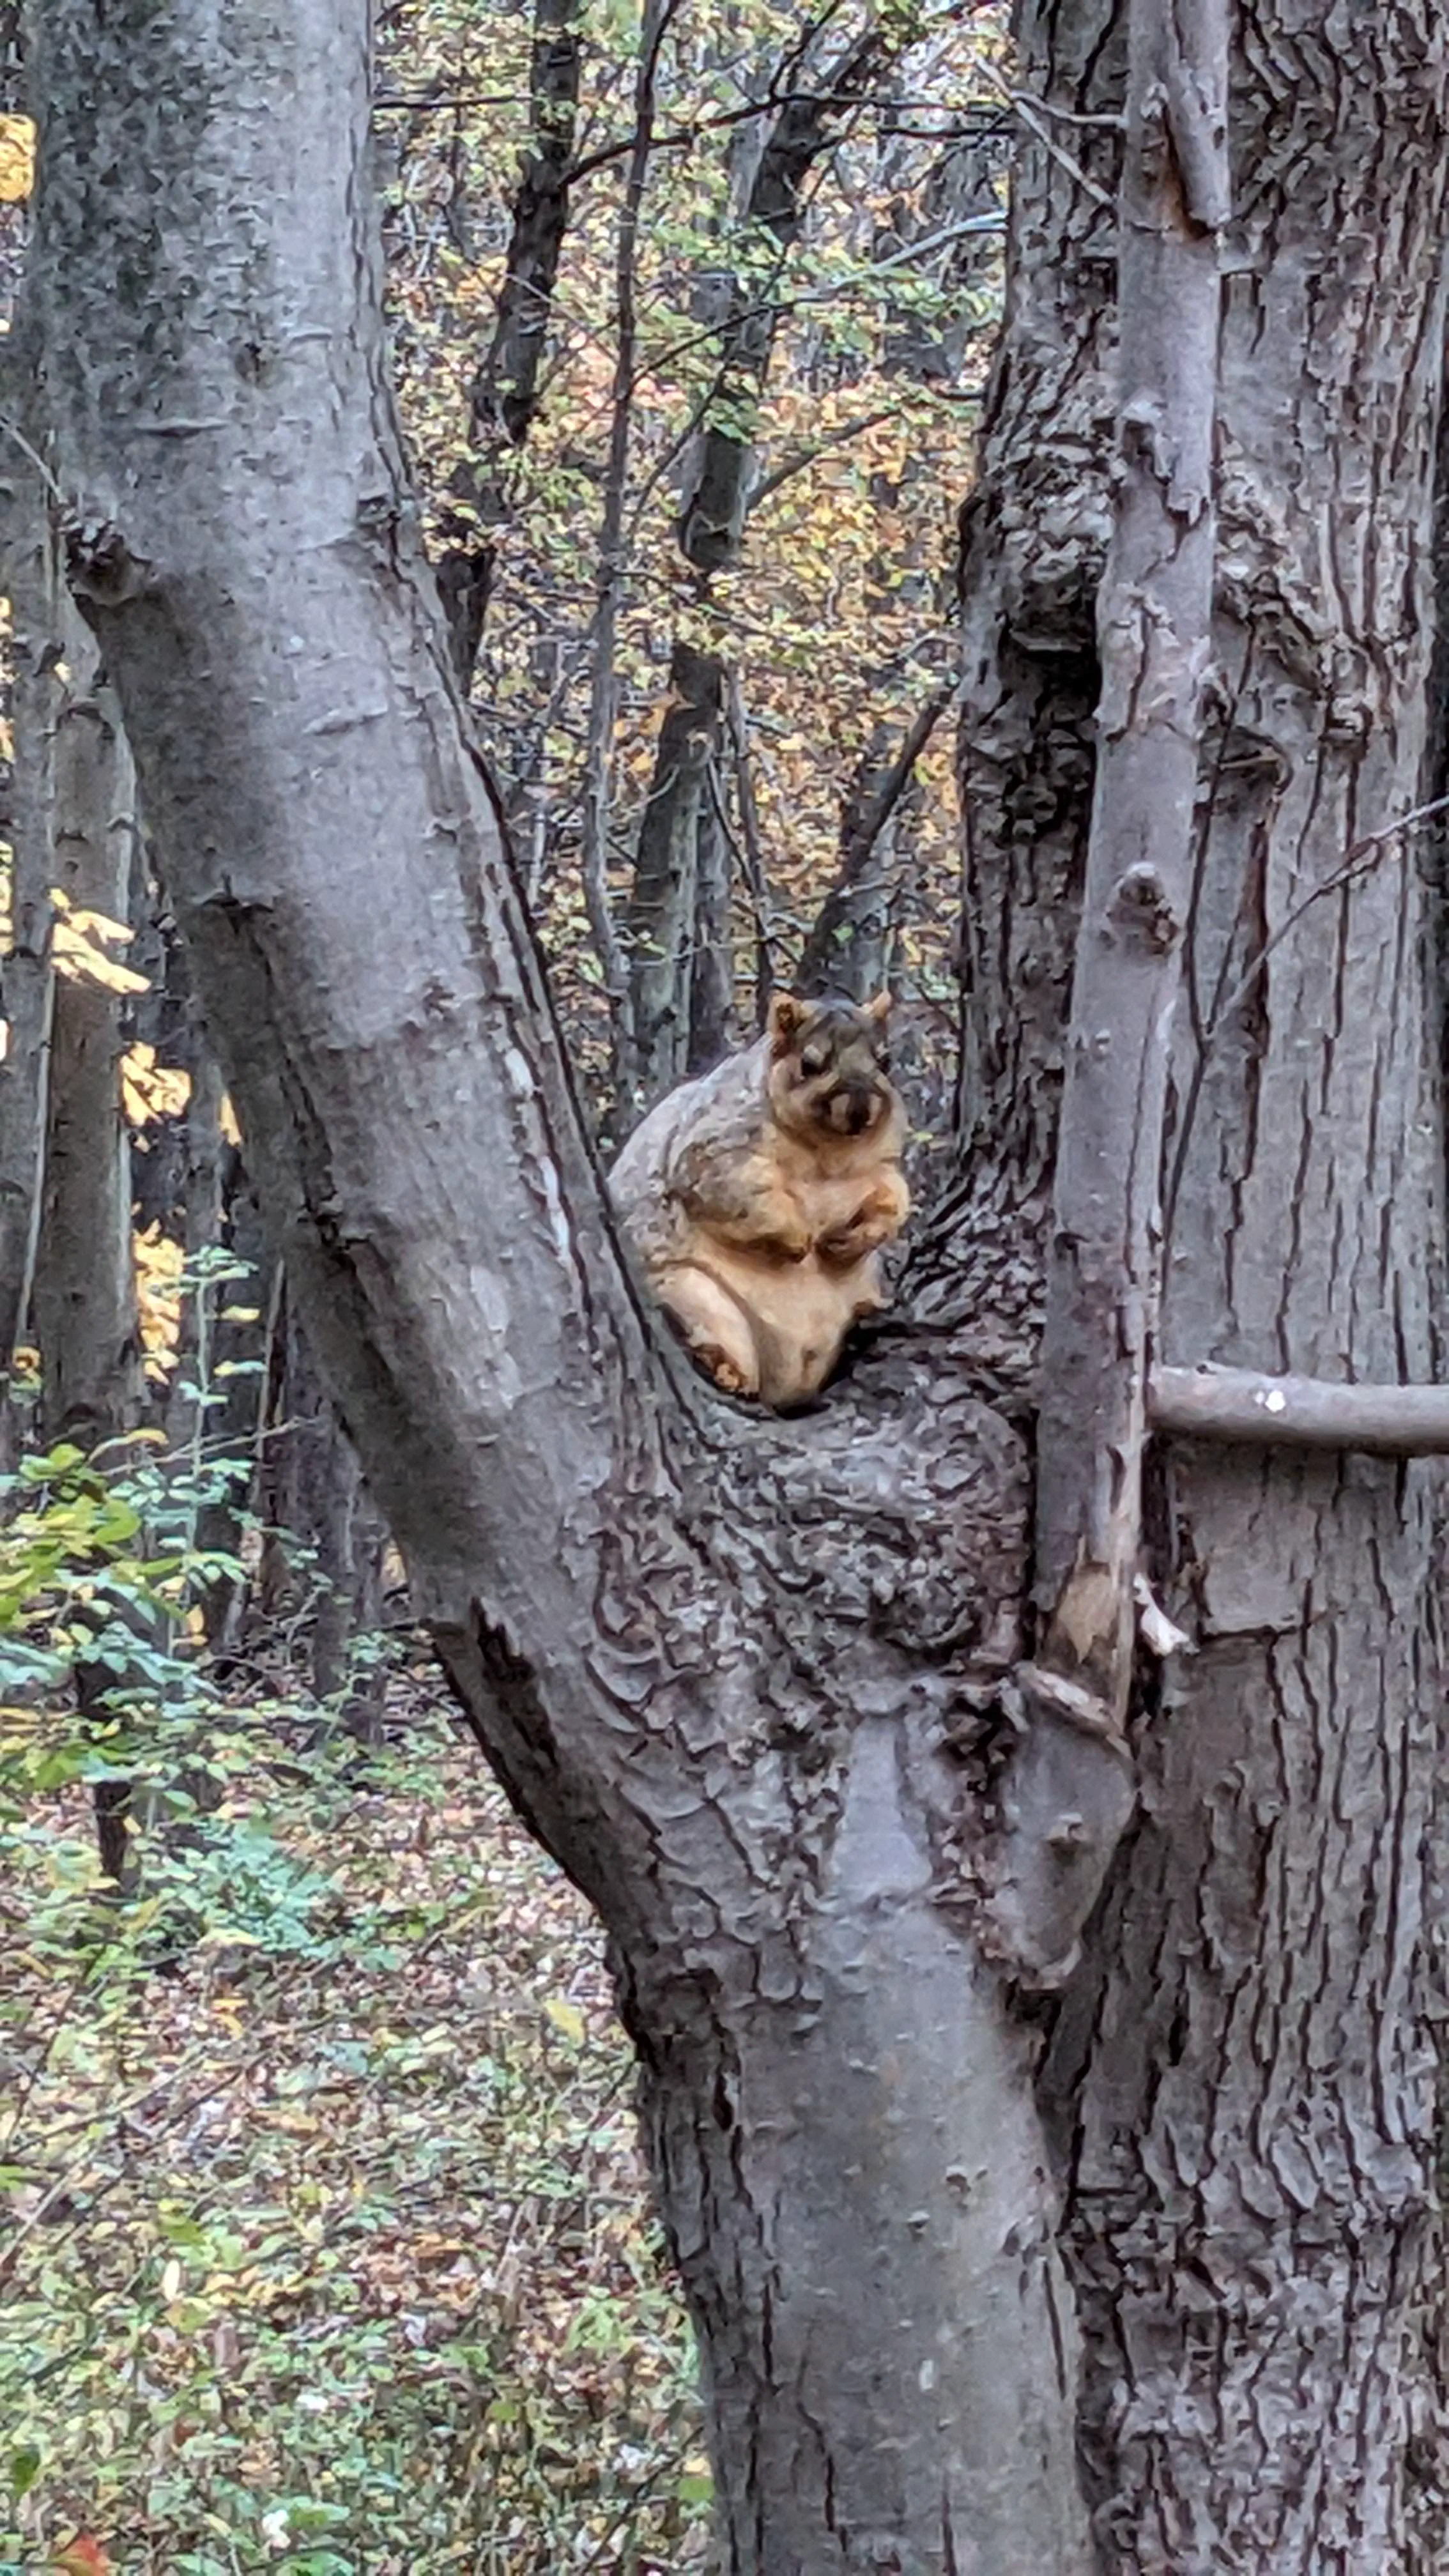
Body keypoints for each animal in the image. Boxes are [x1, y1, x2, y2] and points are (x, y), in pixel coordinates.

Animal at [609, 991, 911, 1406]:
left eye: (886, 1061)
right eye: (809, 1064)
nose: (860, 1109)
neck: (829, 1154)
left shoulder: (881, 1169)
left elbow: (894, 1200)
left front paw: (847, 1242)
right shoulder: (717, 1151)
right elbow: (745, 1198)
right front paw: (800, 1240)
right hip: (694, 1296)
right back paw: (726, 1369)